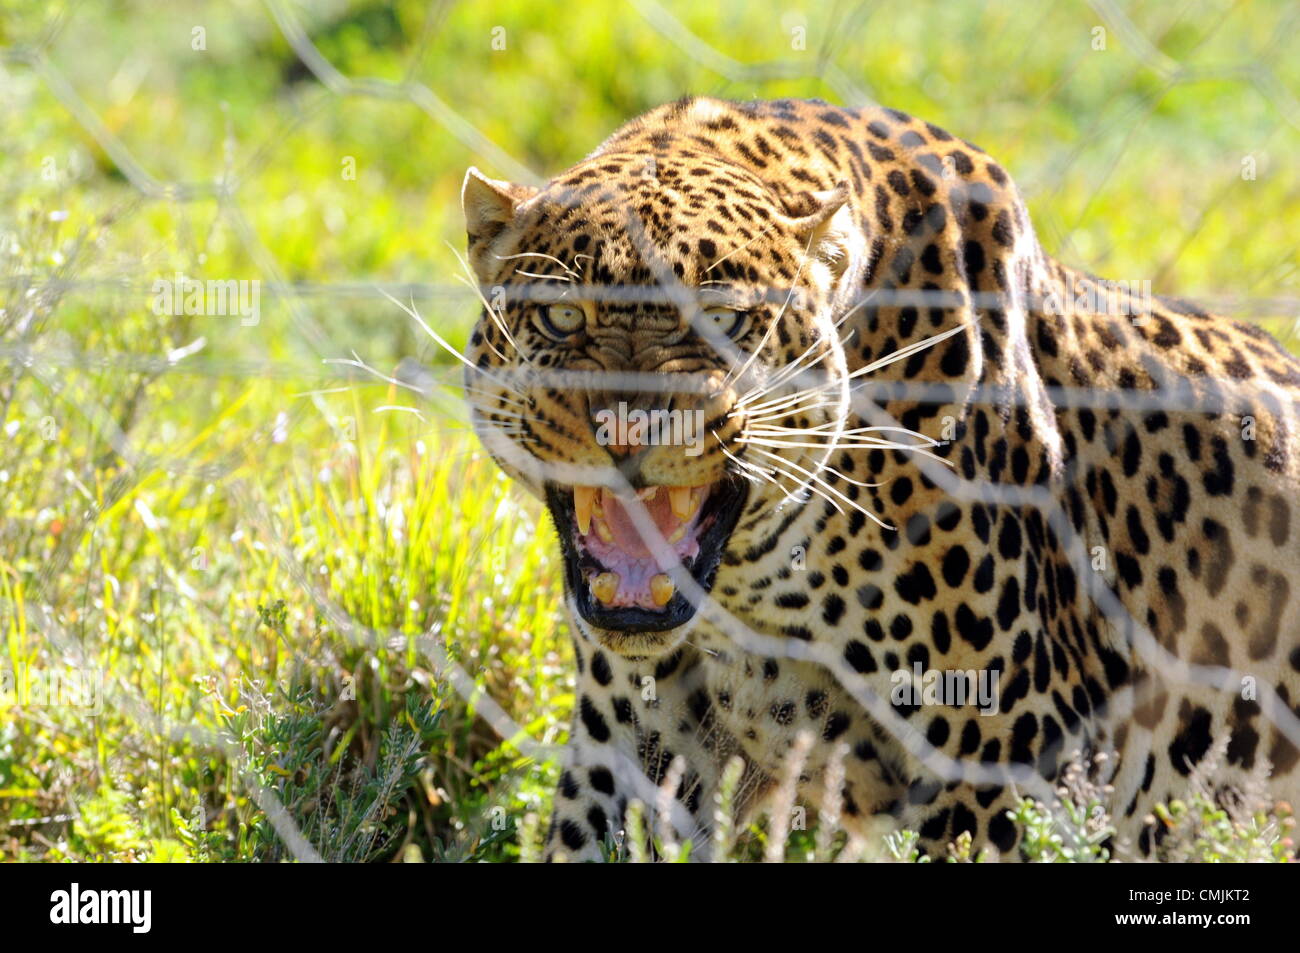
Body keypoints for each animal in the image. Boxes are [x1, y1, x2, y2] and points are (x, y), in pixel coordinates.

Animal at [457, 98, 1300, 863]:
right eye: (562, 317)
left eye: (725, 322)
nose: (629, 430)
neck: (749, 596)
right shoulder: (634, 750)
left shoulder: (998, 764)